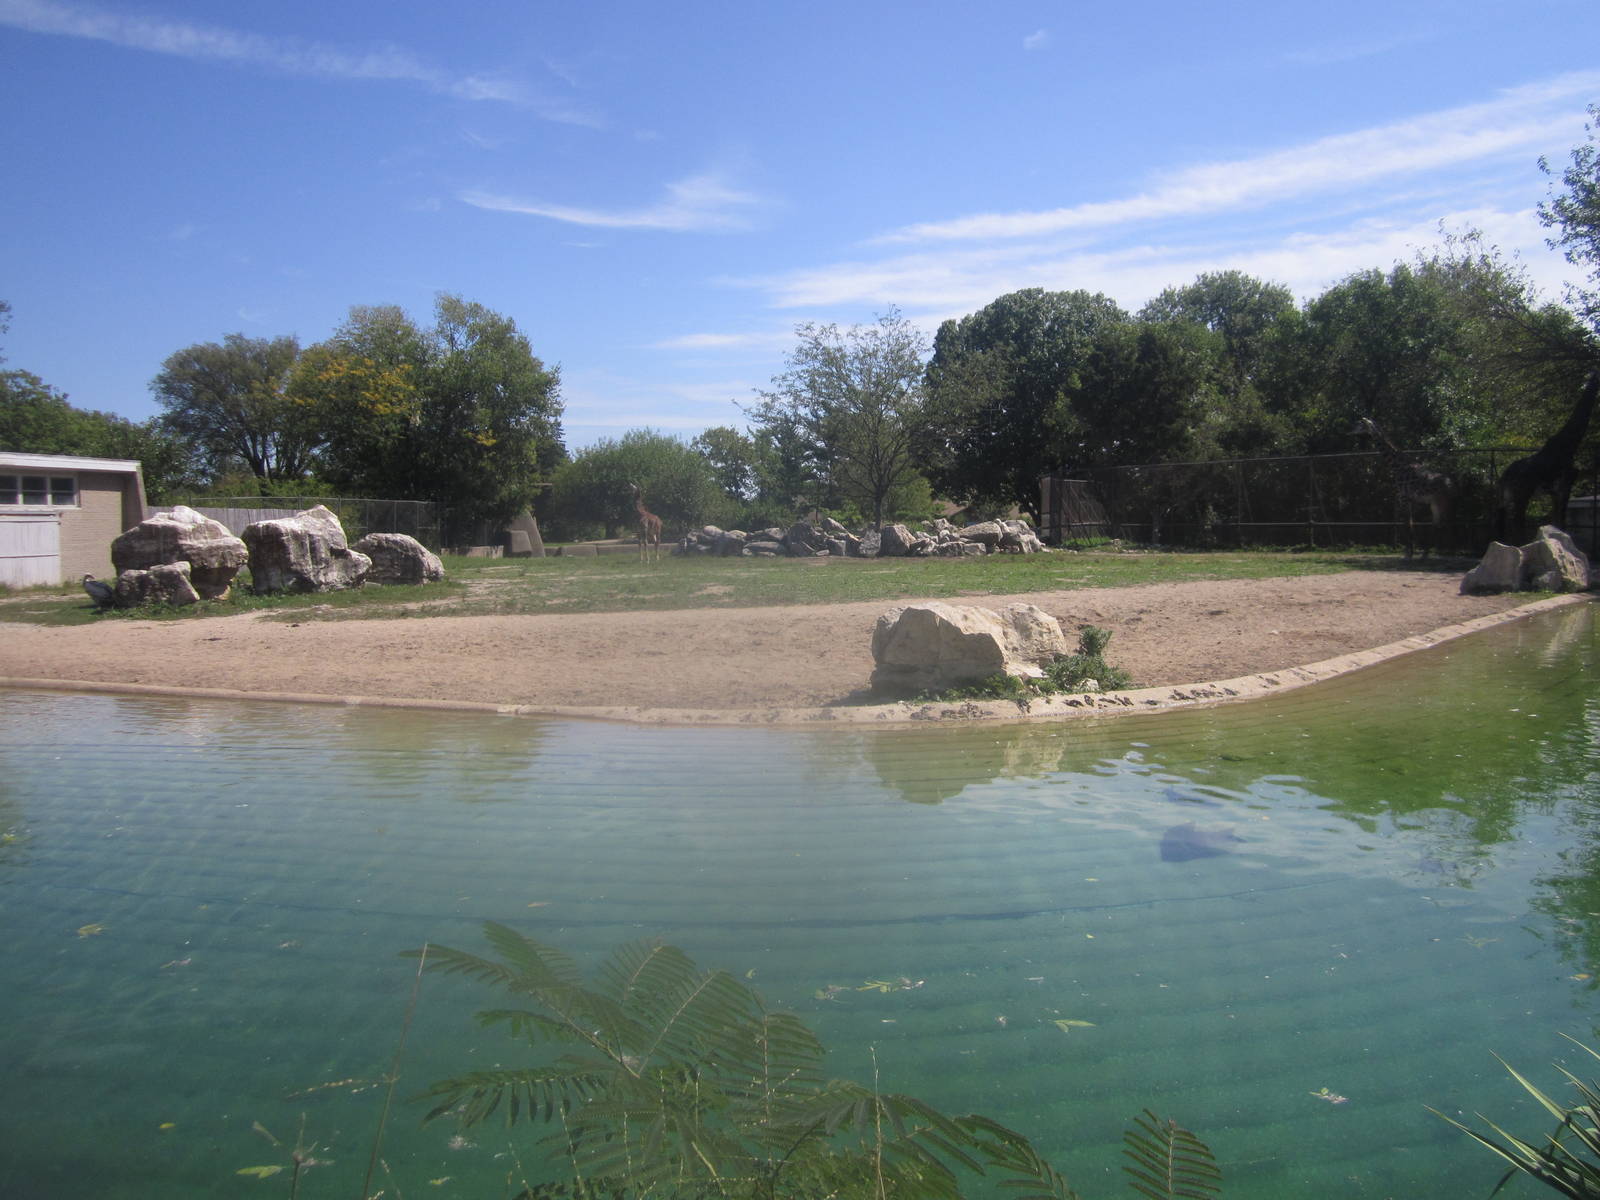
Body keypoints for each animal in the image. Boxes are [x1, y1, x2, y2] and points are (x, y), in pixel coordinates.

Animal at [1353, 417, 1453, 559]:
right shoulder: (1408, 499)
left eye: (1360, 425)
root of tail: (1451, 484)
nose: (1350, 431)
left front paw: (1408, 554)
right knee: (1438, 524)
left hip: (1441, 501)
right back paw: (1426, 554)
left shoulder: (1403, 498)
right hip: (1434, 503)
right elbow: (1410, 524)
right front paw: (1410, 552)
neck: (1397, 466)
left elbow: (1407, 525)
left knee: (1445, 524)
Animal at [1497, 372, 1600, 544]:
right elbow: (1561, 522)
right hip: (1520, 495)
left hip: (1506, 499)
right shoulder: (1564, 486)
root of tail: (1504, 478)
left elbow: (1557, 522)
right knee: (1517, 525)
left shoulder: (1556, 492)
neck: (1569, 443)